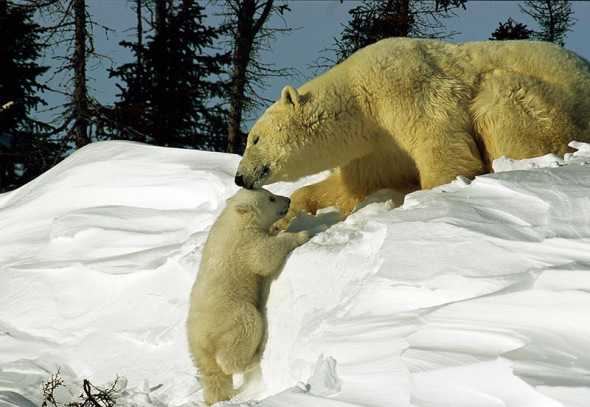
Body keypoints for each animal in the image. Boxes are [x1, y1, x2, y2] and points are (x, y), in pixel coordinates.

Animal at [188, 188, 310, 404]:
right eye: (271, 198)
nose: (288, 200)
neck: (235, 218)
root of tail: (199, 337)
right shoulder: (245, 243)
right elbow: (264, 256)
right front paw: (301, 234)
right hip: (231, 315)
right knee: (244, 331)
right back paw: (252, 359)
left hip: (198, 349)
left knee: (212, 374)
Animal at [236, 38, 590, 226]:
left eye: (255, 138)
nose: (240, 177)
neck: (360, 99)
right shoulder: (376, 148)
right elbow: (357, 184)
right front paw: (289, 216)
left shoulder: (405, 90)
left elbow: (443, 148)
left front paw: (426, 197)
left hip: (547, 106)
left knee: (499, 97)